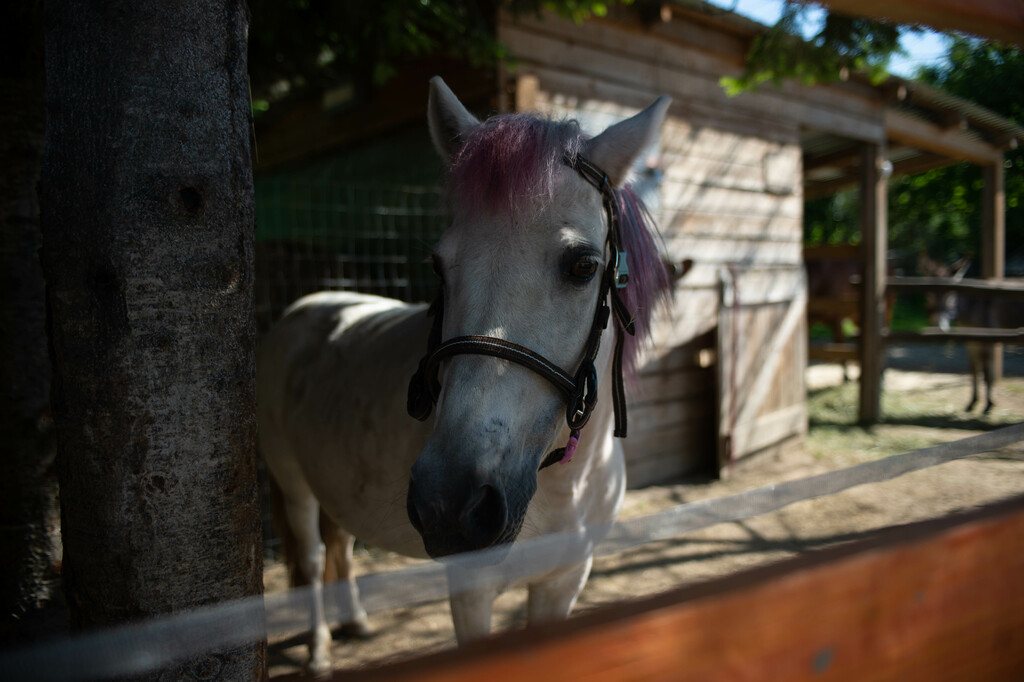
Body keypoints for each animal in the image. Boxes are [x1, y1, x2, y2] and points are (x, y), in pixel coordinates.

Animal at [258, 76, 671, 671]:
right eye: (438, 266)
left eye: (583, 266)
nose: (450, 503)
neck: (561, 484)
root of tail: (307, 308)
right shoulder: (471, 594)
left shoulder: (565, 581)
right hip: (293, 484)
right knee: (313, 559)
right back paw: (318, 651)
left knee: (340, 544)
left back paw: (355, 622)